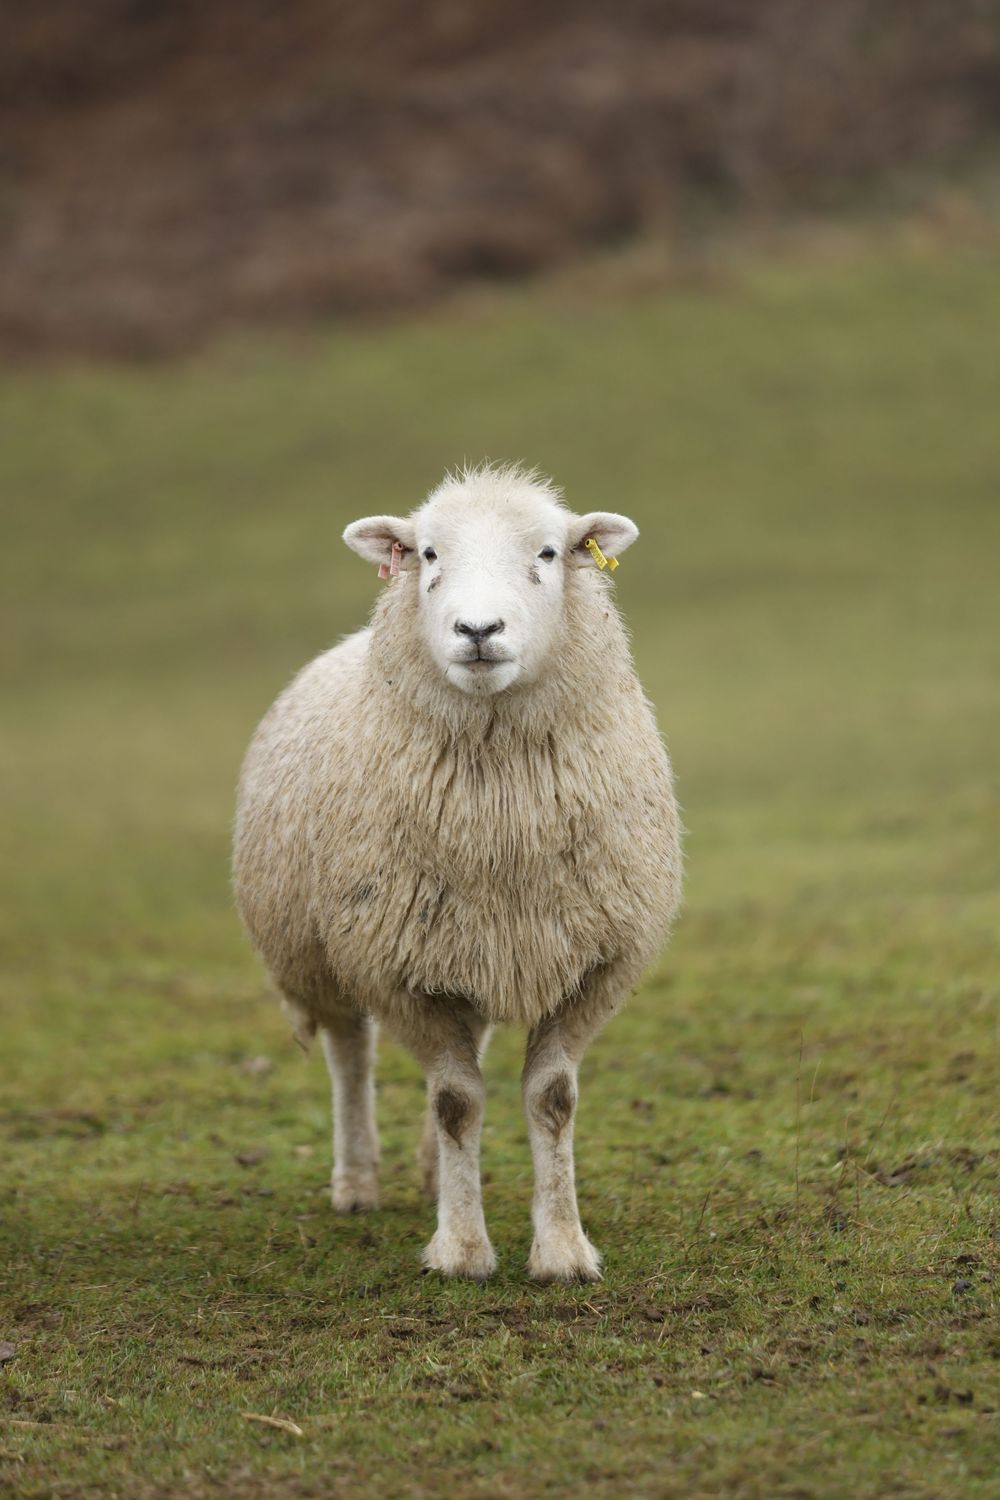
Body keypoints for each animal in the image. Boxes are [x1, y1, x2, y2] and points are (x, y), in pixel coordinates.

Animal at [233, 463, 681, 1281]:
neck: (498, 825)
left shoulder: (593, 965)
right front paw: (463, 1251)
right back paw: (358, 1183)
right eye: (429, 554)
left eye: (548, 552)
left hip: (470, 947)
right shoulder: (397, 968)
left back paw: (432, 1176)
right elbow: (456, 1103)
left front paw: (562, 1250)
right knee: (350, 1055)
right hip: (323, 953)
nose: (478, 631)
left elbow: (552, 1098)